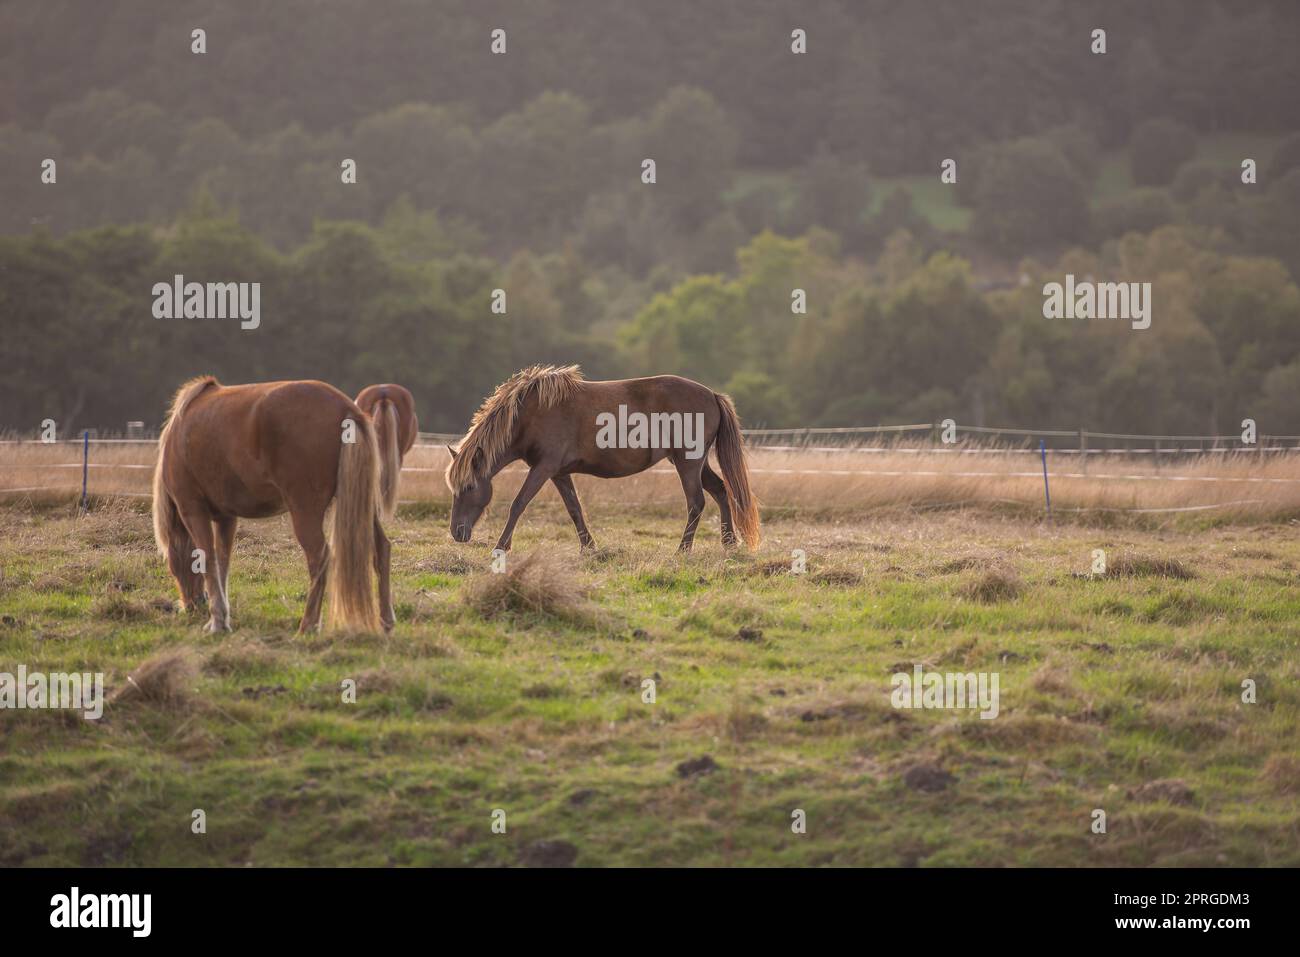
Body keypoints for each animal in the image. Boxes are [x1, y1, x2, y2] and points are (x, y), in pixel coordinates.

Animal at [151, 374, 390, 634]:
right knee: (381, 549)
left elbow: (208, 560)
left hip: (305, 512)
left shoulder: (194, 511)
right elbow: (223, 563)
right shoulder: (226, 518)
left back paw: (308, 624)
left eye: (171, 562)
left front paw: (216, 621)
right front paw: (223, 617)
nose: (192, 605)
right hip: (364, 508)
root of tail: (347, 408)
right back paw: (386, 621)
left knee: (319, 558)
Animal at [444, 364, 759, 553]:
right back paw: (729, 543)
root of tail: (712, 394)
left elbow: (518, 504)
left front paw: (501, 547)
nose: (457, 532)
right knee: (721, 491)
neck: (531, 413)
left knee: (696, 503)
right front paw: (589, 548)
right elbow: (574, 509)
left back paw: (683, 549)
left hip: (688, 464)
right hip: (694, 463)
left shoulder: (543, 468)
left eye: (469, 487)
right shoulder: (558, 473)